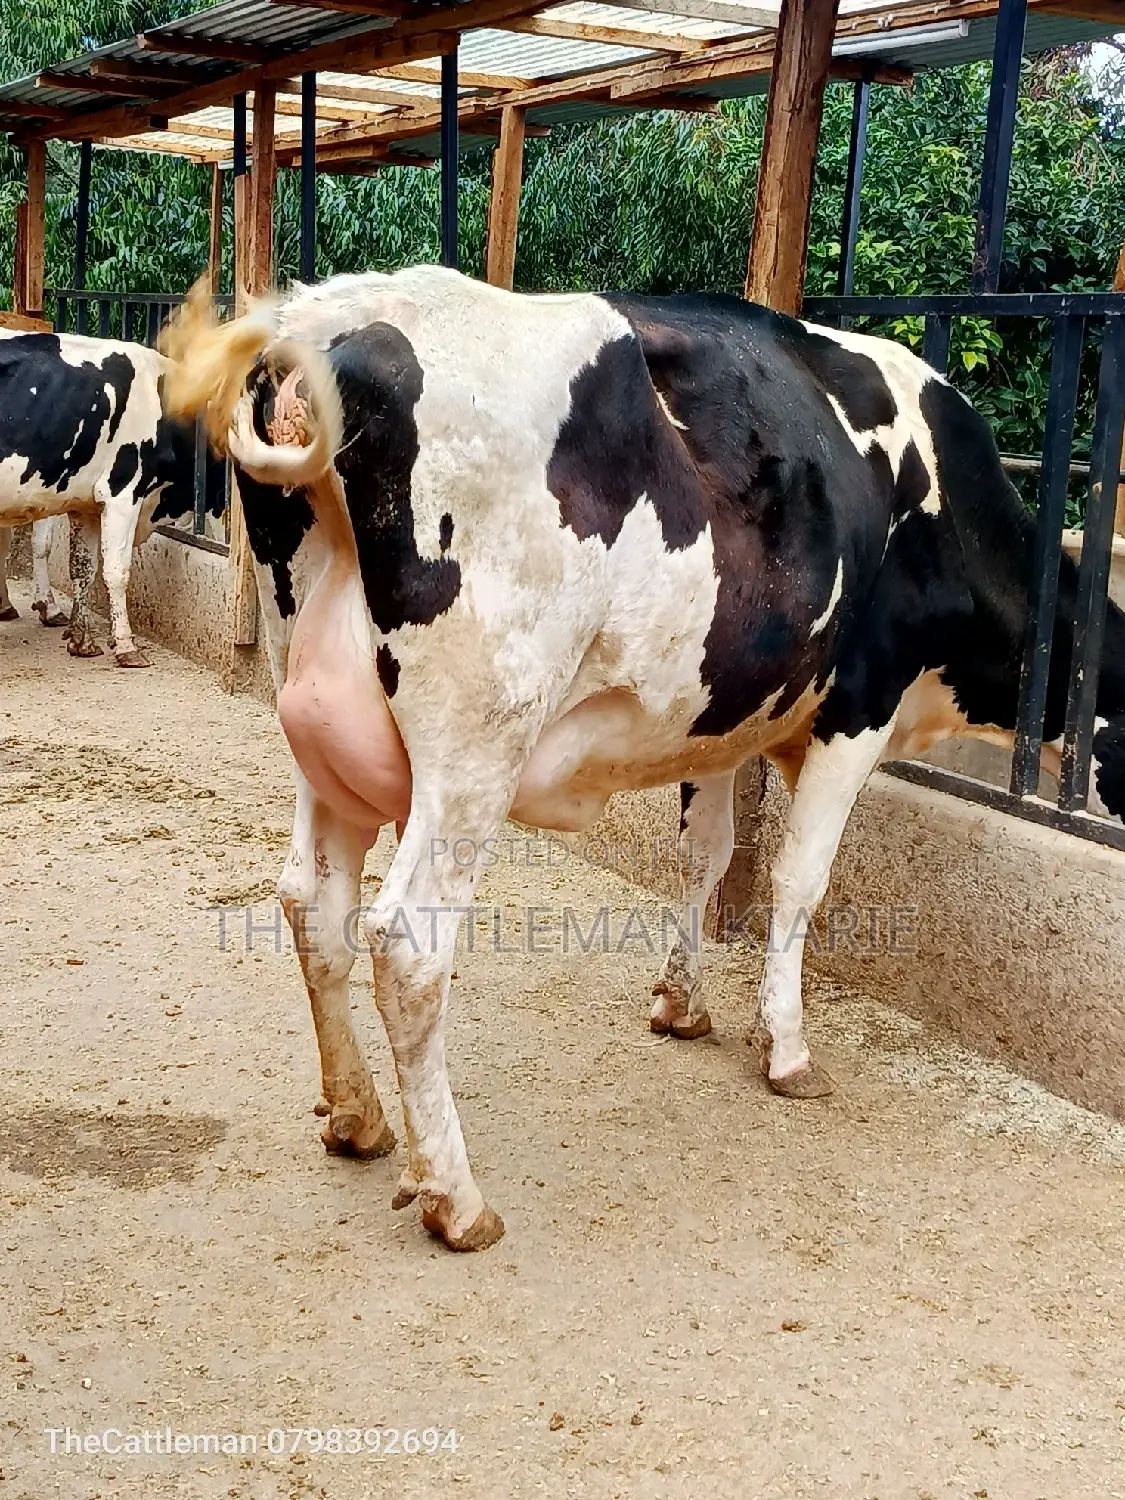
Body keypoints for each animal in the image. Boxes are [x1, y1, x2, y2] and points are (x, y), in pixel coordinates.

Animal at [0, 328, 219, 666]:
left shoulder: (86, 506)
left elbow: (83, 568)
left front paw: (82, 641)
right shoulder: (122, 493)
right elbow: (116, 571)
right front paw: (127, 647)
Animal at [162, 267, 1125, 1252]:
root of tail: (337, 318)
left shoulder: (725, 713)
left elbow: (706, 856)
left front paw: (681, 1003)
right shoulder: (860, 706)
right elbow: (797, 879)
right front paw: (786, 1049)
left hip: (321, 726)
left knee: (310, 905)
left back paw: (357, 1117)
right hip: (476, 741)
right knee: (407, 942)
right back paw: (455, 1199)